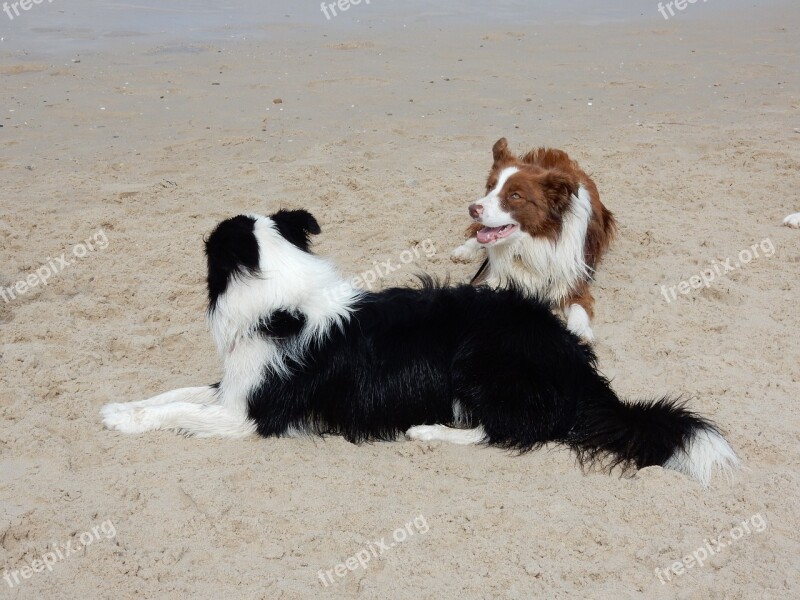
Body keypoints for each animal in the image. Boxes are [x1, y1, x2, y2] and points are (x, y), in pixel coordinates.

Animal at [103, 209, 740, 486]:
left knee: (511, 430)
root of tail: (573, 361)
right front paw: (120, 409)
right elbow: (174, 393)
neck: (281, 302)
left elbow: (182, 412)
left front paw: (133, 422)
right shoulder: (235, 388)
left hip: (479, 361)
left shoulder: (252, 415)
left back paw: (429, 431)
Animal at [454, 137, 616, 342]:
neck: (531, 243)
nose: (472, 209)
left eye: (515, 195)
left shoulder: (572, 280)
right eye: (490, 187)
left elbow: (579, 307)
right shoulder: (499, 278)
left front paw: (580, 331)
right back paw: (463, 251)